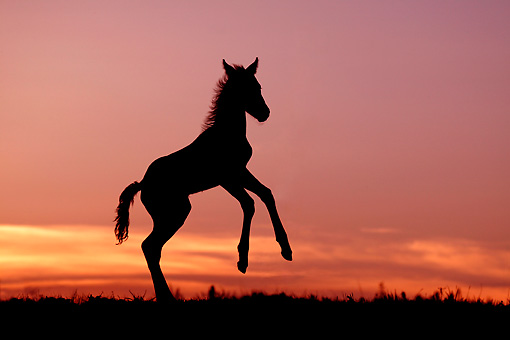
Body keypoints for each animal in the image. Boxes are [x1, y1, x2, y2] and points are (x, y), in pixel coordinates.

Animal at [114, 58, 292, 302]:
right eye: (245, 88)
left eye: (258, 86)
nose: (264, 112)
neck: (227, 133)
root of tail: (142, 184)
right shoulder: (227, 177)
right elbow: (249, 203)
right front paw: (242, 260)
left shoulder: (241, 171)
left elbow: (266, 194)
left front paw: (286, 249)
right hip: (175, 212)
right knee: (150, 246)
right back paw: (167, 297)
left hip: (168, 214)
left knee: (152, 248)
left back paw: (165, 296)